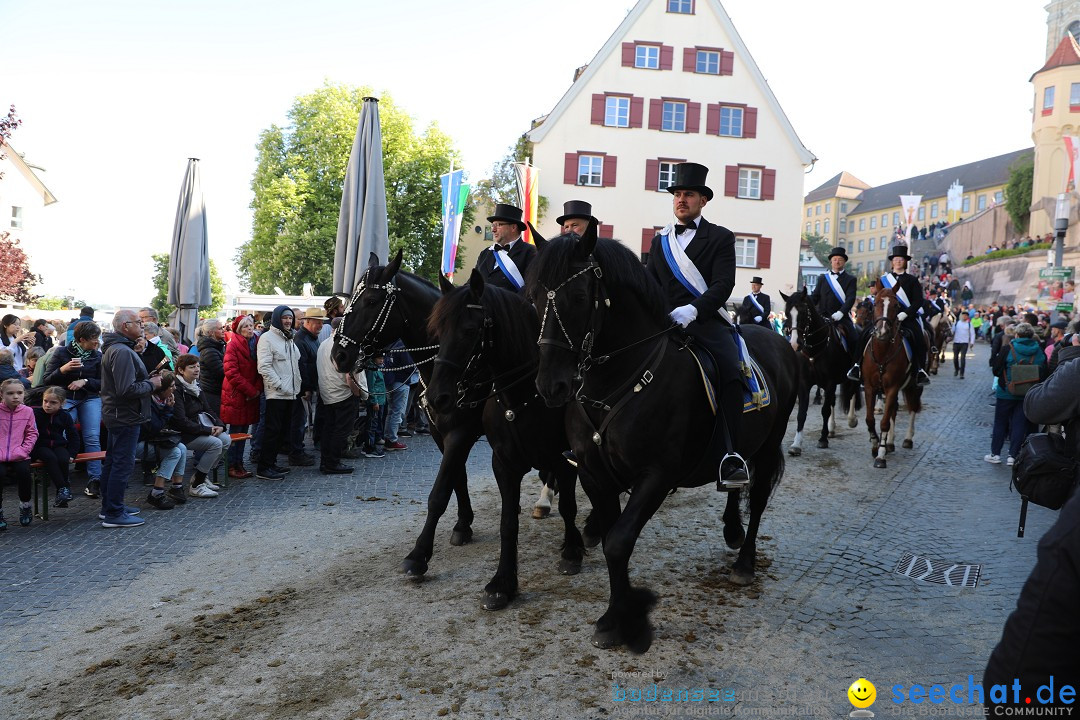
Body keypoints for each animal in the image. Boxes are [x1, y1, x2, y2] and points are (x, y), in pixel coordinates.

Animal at [328, 252, 481, 569]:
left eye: (372, 301)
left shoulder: (461, 432)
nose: (338, 355)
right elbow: (457, 478)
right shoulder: (441, 433)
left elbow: (440, 491)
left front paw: (418, 554)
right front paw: (463, 524)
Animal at [425, 269, 587, 608]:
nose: (437, 397)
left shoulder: (562, 457)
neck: (523, 395)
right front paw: (503, 583)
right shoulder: (503, 463)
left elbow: (569, 505)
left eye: (470, 330)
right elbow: (507, 522)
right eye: (437, 331)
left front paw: (571, 551)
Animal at [527, 229, 799, 651]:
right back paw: (732, 529)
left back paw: (745, 562)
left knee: (757, 498)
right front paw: (614, 617)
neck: (613, 383)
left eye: (580, 297)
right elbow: (611, 537)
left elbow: (619, 541)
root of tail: (777, 339)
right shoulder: (593, 473)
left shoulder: (656, 475)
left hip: (770, 444)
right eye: (535, 297)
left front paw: (628, 622)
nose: (550, 386)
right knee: (737, 478)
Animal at [781, 289, 855, 453]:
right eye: (787, 313)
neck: (814, 348)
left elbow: (825, 410)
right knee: (833, 401)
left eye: (803, 313)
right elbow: (801, 413)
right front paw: (796, 444)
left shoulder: (830, 382)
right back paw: (832, 429)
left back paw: (852, 420)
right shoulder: (804, 383)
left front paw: (822, 439)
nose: (795, 344)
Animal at [864, 287, 924, 468]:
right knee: (894, 410)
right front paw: (876, 445)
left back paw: (907, 439)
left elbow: (883, 422)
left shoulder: (892, 388)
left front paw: (880, 455)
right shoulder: (870, 387)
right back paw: (889, 443)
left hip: (914, 386)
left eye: (896, 305)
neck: (882, 352)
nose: (882, 332)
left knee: (913, 407)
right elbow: (870, 419)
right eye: (875, 303)